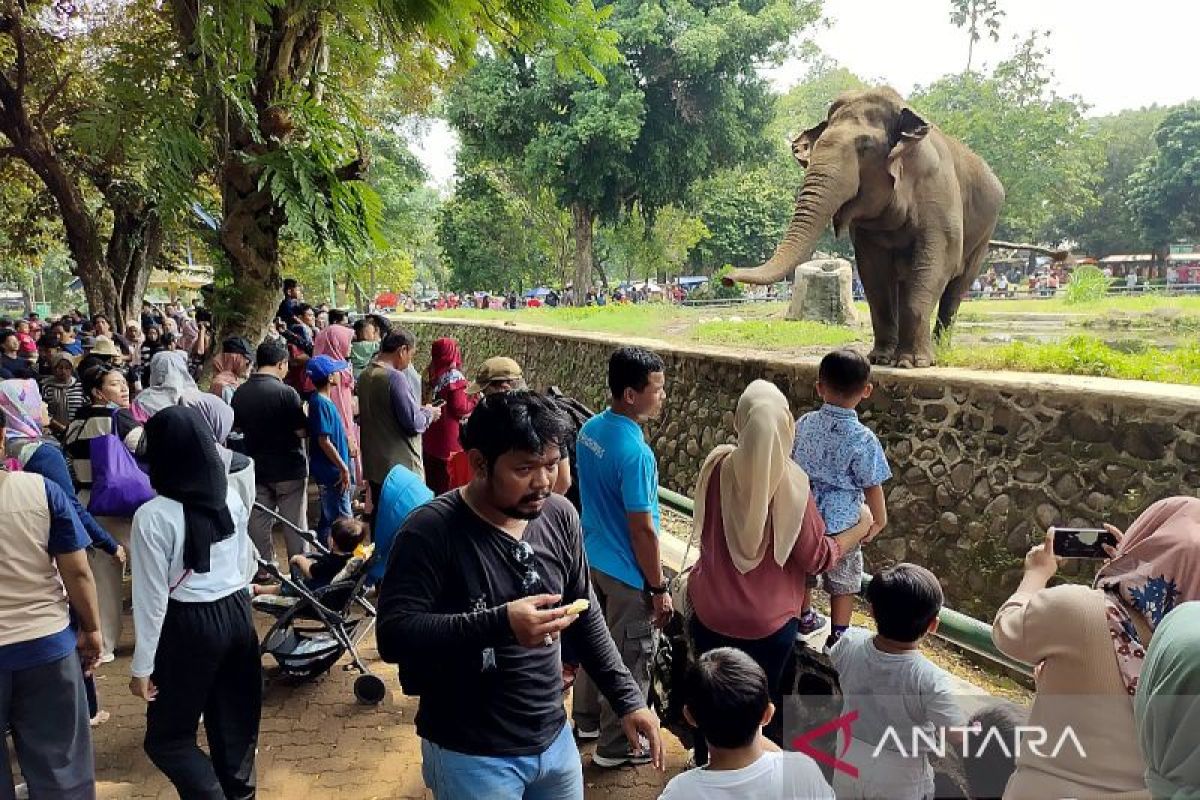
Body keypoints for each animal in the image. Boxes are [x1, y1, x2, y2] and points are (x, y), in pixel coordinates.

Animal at [729, 86, 1003, 369]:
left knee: (957, 287)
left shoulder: (938, 194)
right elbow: (873, 273)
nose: (727, 277)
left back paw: (940, 351)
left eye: (866, 147)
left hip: (985, 235)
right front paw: (879, 359)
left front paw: (912, 363)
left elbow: (936, 262)